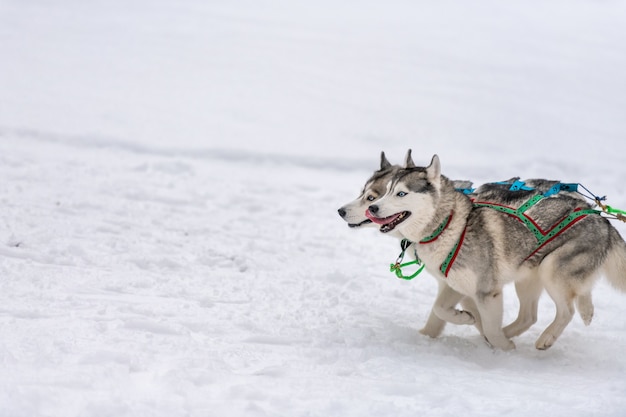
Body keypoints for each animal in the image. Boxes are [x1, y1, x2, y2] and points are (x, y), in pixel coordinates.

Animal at [366, 153, 624, 348]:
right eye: (386, 191)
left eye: (401, 193)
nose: (372, 208)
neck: (451, 226)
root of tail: (601, 218)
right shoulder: (455, 284)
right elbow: (439, 309)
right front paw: (455, 323)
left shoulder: (486, 291)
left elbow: (487, 325)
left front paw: (503, 349)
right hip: (528, 277)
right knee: (532, 315)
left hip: (552, 271)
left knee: (566, 310)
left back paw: (544, 338)